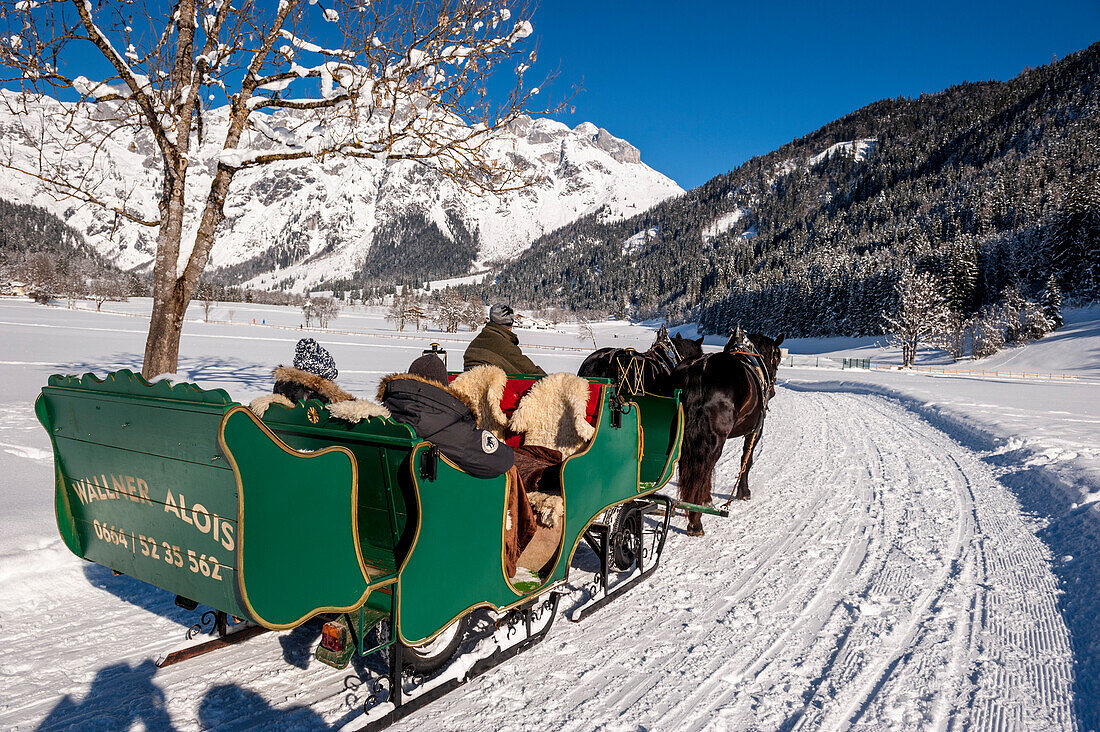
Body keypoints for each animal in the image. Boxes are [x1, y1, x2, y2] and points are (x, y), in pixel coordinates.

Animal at [668, 334, 783, 534]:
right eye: (777, 358)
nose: (772, 391)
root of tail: (700, 368)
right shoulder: (755, 430)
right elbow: (746, 460)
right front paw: (744, 492)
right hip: (714, 438)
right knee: (705, 468)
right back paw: (695, 521)